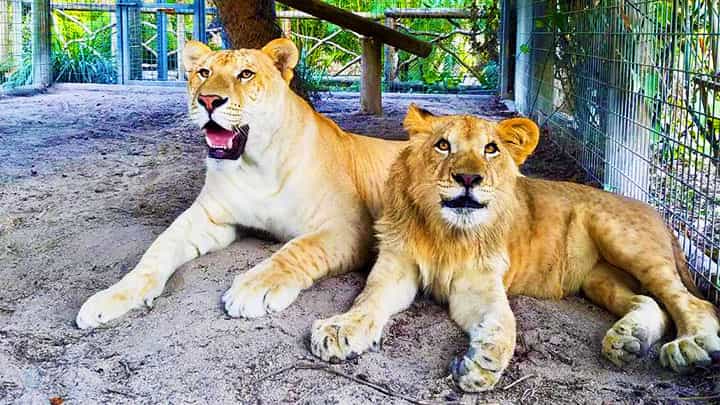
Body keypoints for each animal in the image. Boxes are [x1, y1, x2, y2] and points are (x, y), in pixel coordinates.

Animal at [78, 38, 408, 328]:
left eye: (246, 74)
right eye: (204, 72)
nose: (208, 100)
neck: (256, 166)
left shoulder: (350, 225)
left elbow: (299, 249)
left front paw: (255, 287)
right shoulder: (210, 218)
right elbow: (158, 249)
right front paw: (111, 296)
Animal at [310, 105, 720, 390]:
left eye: (491, 149)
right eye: (443, 145)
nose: (468, 178)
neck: (446, 234)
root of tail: (657, 212)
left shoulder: (479, 285)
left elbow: (504, 322)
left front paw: (483, 362)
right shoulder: (395, 268)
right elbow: (368, 301)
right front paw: (339, 330)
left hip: (623, 239)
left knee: (694, 302)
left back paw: (689, 346)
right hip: (600, 278)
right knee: (649, 301)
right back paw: (629, 340)